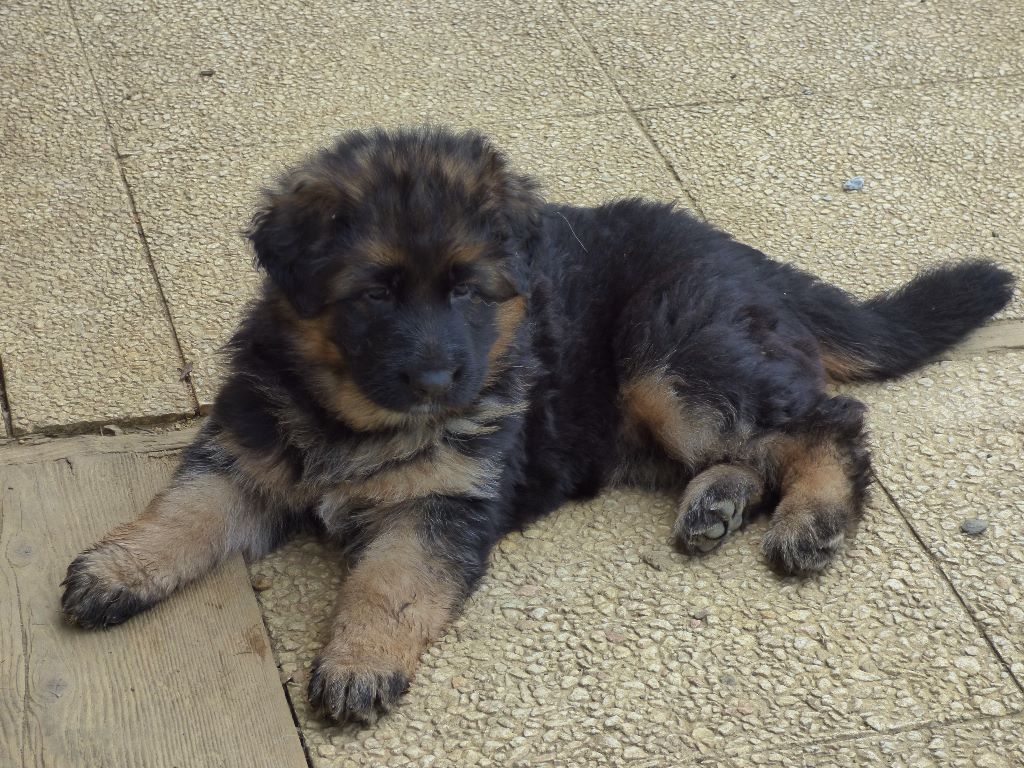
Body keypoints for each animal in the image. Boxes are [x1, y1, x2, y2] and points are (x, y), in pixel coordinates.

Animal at [64, 124, 1015, 720]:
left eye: (466, 292)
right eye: (374, 294)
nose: (437, 376)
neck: (357, 417)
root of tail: (746, 258)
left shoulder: (442, 506)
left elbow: (390, 582)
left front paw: (359, 662)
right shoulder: (245, 449)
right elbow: (185, 511)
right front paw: (118, 569)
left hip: (671, 360)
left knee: (830, 421)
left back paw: (811, 520)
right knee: (755, 447)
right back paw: (717, 502)